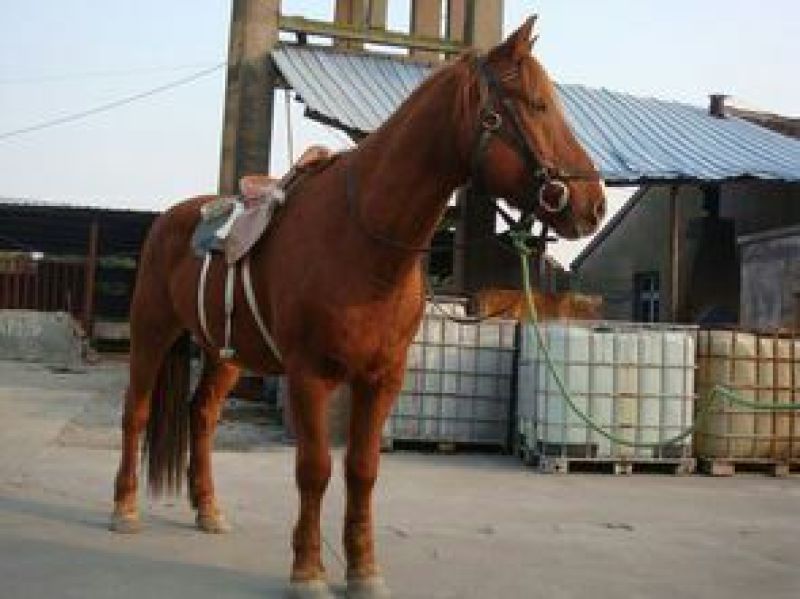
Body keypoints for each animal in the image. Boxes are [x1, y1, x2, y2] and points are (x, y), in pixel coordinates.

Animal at [110, 17, 606, 598]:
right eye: (535, 104)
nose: (593, 204)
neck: (361, 237)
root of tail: (169, 220)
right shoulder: (308, 375)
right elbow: (315, 468)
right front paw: (308, 570)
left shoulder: (382, 377)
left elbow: (363, 470)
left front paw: (364, 570)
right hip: (151, 333)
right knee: (136, 413)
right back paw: (124, 509)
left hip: (224, 353)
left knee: (202, 417)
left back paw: (208, 509)